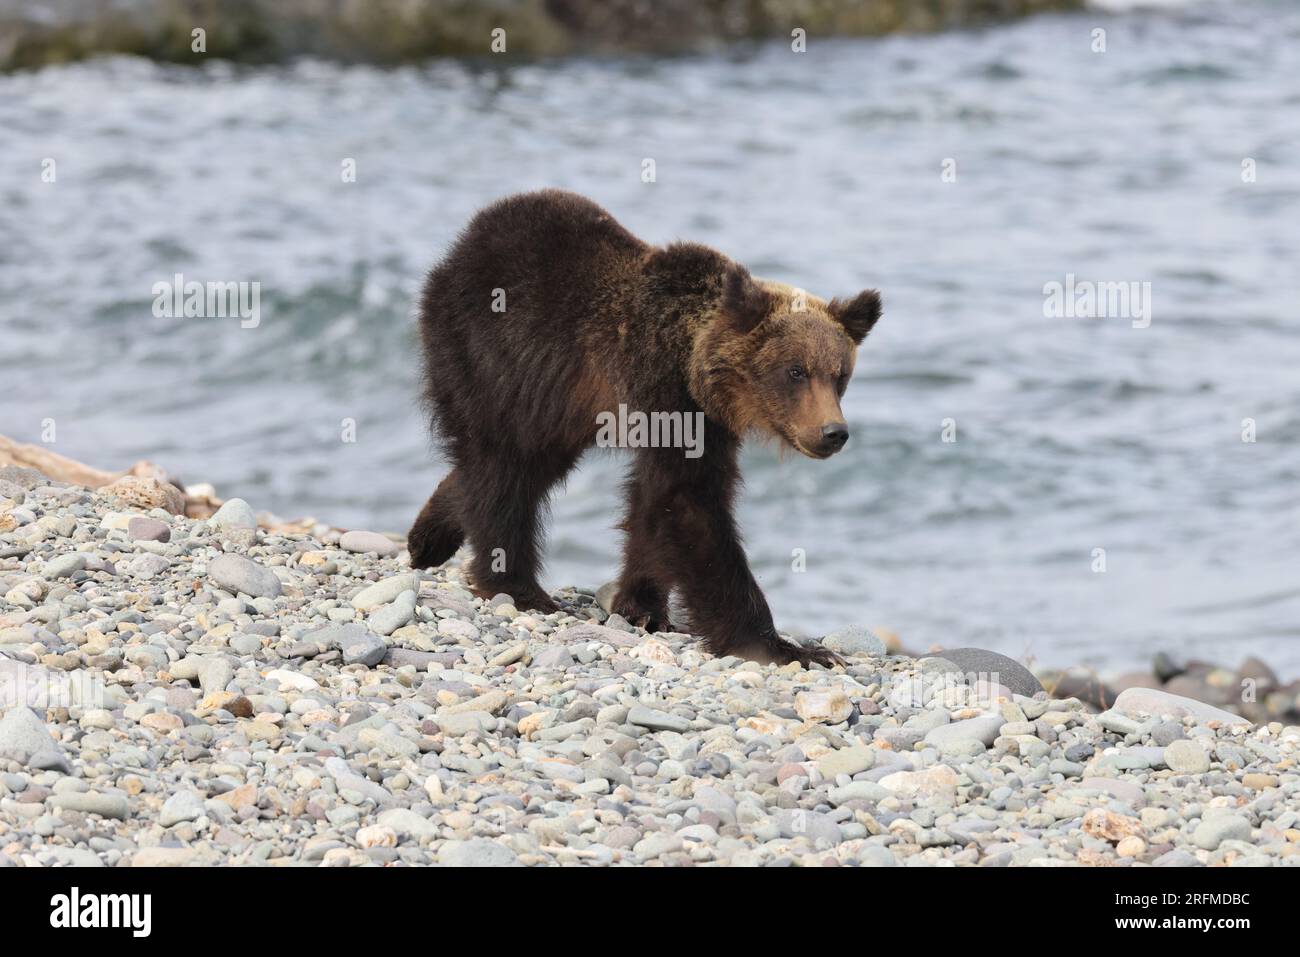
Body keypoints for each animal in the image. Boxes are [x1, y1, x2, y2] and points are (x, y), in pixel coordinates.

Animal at [408, 189, 881, 667]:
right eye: (796, 370)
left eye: (840, 374)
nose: (833, 432)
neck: (694, 367)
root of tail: (462, 245)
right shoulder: (665, 396)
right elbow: (689, 505)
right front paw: (781, 645)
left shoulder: (702, 423)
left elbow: (655, 504)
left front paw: (643, 607)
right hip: (497, 355)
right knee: (504, 464)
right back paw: (516, 587)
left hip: (558, 400)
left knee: (524, 464)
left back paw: (429, 535)